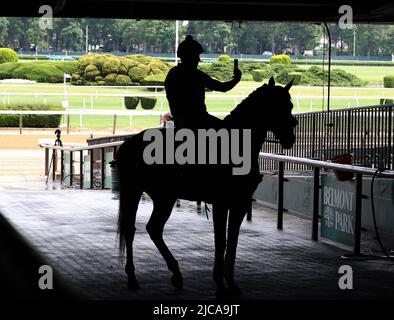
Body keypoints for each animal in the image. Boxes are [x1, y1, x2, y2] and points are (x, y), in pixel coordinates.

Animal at [115, 77, 298, 296]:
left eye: (290, 106)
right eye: (277, 105)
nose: (290, 137)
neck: (236, 145)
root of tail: (129, 143)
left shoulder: (240, 203)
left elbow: (232, 241)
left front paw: (231, 284)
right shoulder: (221, 203)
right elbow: (221, 241)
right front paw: (219, 284)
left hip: (162, 196)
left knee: (151, 229)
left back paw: (174, 274)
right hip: (137, 191)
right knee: (132, 229)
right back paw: (134, 277)